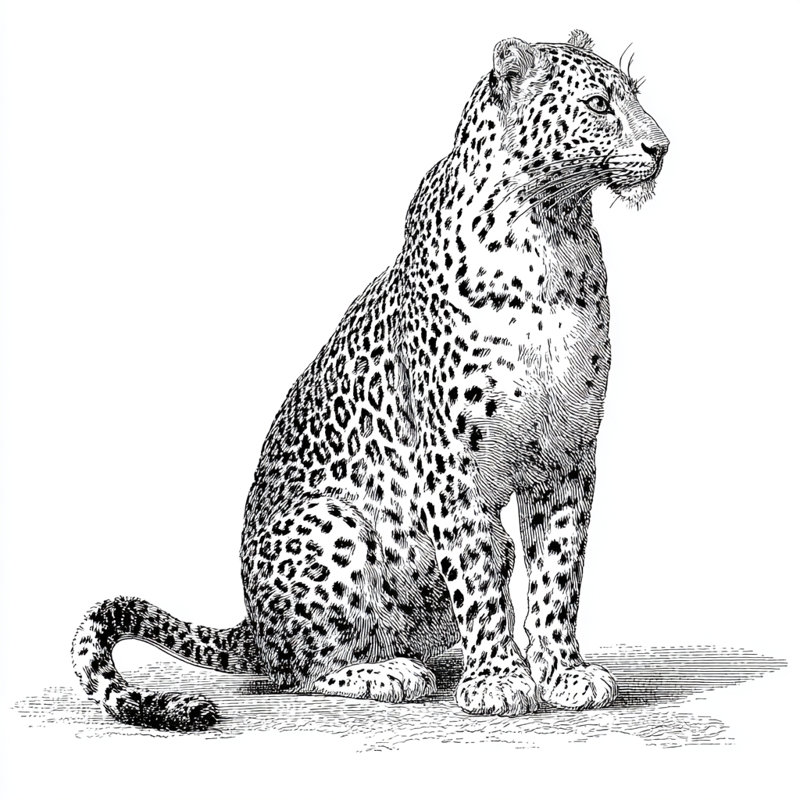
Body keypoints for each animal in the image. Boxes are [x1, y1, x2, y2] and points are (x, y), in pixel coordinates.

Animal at [72, 30, 668, 731]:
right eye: (600, 105)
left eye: (637, 97)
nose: (662, 146)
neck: (553, 231)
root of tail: (251, 623)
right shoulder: (451, 464)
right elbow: (480, 573)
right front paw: (498, 680)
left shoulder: (569, 458)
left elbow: (557, 573)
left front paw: (563, 673)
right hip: (334, 525)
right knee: (302, 667)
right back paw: (389, 672)